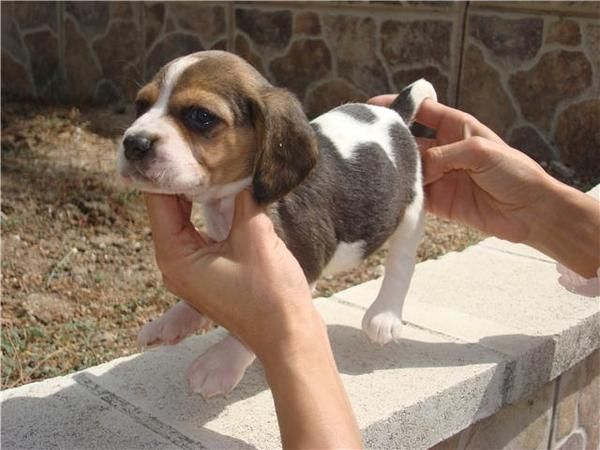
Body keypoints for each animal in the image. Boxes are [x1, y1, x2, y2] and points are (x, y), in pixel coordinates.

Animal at [117, 51, 436, 398]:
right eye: (141, 105)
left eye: (201, 116)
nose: (133, 143)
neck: (226, 201)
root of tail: (394, 115)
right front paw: (172, 321)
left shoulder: (303, 261)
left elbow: (255, 318)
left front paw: (220, 363)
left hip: (411, 209)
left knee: (401, 262)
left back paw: (384, 315)